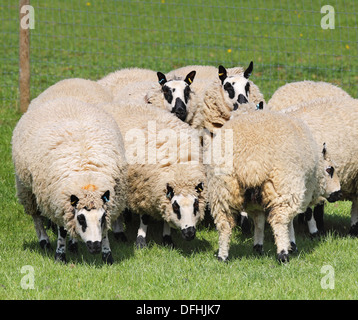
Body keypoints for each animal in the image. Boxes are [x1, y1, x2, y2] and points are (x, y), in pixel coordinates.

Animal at [11, 99, 127, 264]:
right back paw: (44, 240)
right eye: (81, 219)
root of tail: (62, 100)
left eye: (101, 218)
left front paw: (107, 255)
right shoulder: (58, 204)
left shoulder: (108, 206)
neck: (87, 178)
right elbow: (62, 231)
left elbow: (104, 231)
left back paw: (73, 245)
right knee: (36, 216)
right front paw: (60, 256)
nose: (95, 247)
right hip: (26, 187)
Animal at [100, 102, 207, 248]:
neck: (180, 170)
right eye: (176, 207)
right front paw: (140, 241)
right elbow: (145, 218)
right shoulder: (142, 191)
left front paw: (167, 239)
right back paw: (119, 233)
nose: (189, 233)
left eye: (195, 205)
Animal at [204, 110, 342, 262]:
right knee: (279, 221)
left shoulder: (256, 205)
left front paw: (258, 247)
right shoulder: (294, 192)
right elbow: (289, 221)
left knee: (224, 224)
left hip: (222, 189)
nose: (338, 193)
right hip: (282, 185)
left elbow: (259, 223)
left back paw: (222, 256)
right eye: (330, 169)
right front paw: (291, 245)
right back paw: (283, 255)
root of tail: (250, 162)